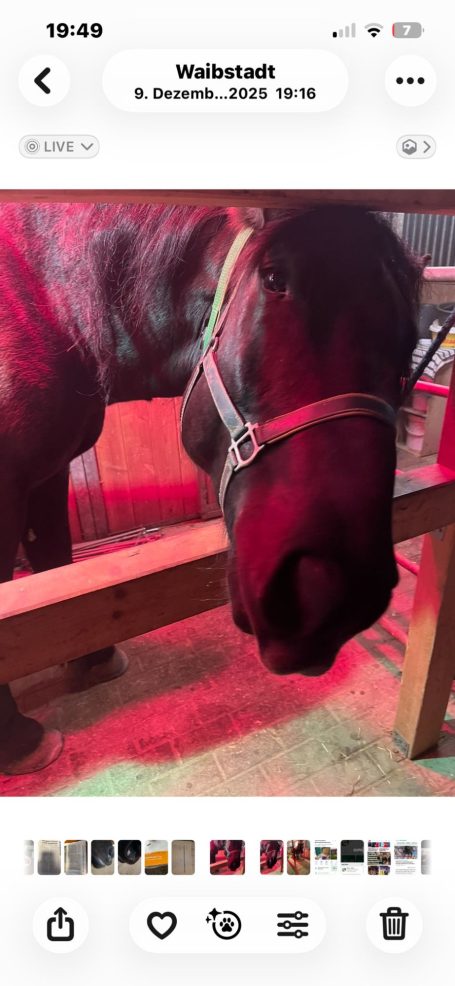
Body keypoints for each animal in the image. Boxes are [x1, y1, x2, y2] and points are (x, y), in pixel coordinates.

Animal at [0, 202, 422, 775]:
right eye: (275, 280)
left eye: (410, 338)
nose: (333, 597)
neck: (44, 300)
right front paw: (19, 740)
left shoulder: (45, 471)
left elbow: (53, 560)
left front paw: (92, 660)